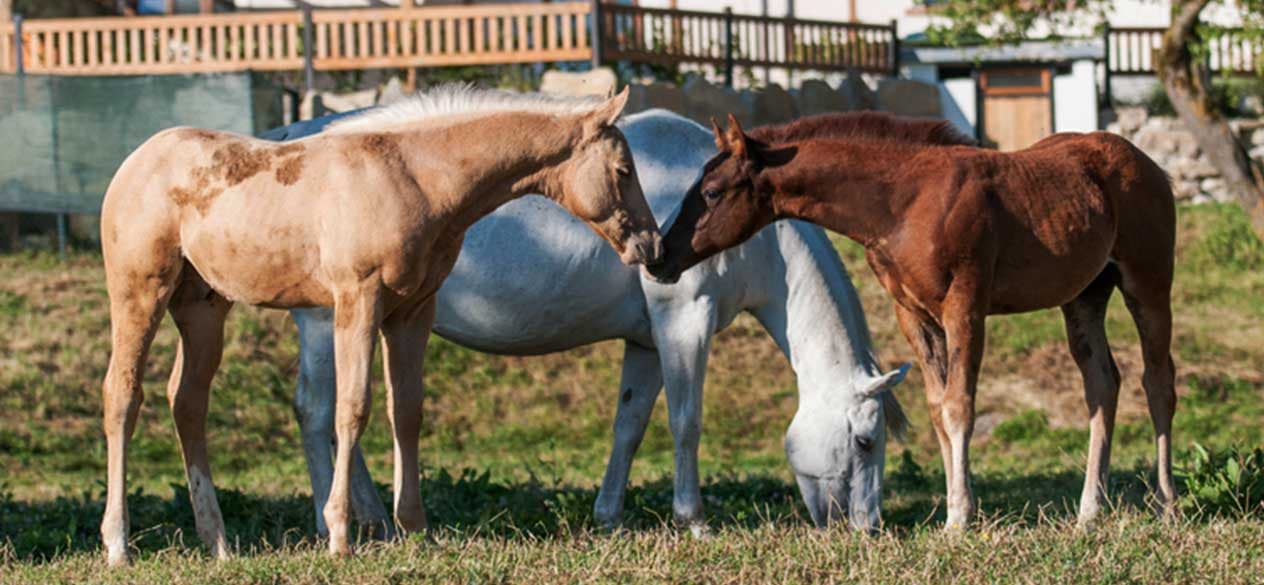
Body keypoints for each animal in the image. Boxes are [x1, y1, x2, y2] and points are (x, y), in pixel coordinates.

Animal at [96, 85, 662, 564]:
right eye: (623, 170)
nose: (651, 244)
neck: (414, 178)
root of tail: (134, 162)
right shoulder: (357, 300)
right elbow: (352, 408)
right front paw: (341, 534)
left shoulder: (412, 313)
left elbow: (407, 411)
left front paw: (414, 527)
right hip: (139, 292)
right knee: (123, 394)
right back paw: (119, 544)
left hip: (203, 308)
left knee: (187, 400)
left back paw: (217, 542)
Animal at [272, 109, 915, 535]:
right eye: (865, 441)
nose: (868, 528)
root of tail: (286, 141)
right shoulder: (684, 323)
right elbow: (685, 423)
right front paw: (694, 521)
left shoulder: (648, 343)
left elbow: (628, 426)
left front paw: (608, 517)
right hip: (328, 324)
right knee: (319, 414)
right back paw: (339, 522)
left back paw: (373, 518)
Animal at [651, 113, 1178, 530]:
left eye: (712, 192)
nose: (660, 258)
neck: (905, 200)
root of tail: (1152, 166)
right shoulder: (913, 315)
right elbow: (937, 407)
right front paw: (957, 506)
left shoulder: (964, 306)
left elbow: (960, 405)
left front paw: (959, 519)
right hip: (1084, 297)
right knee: (1102, 384)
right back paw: (1090, 510)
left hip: (1148, 284)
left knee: (1158, 382)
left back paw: (1167, 502)